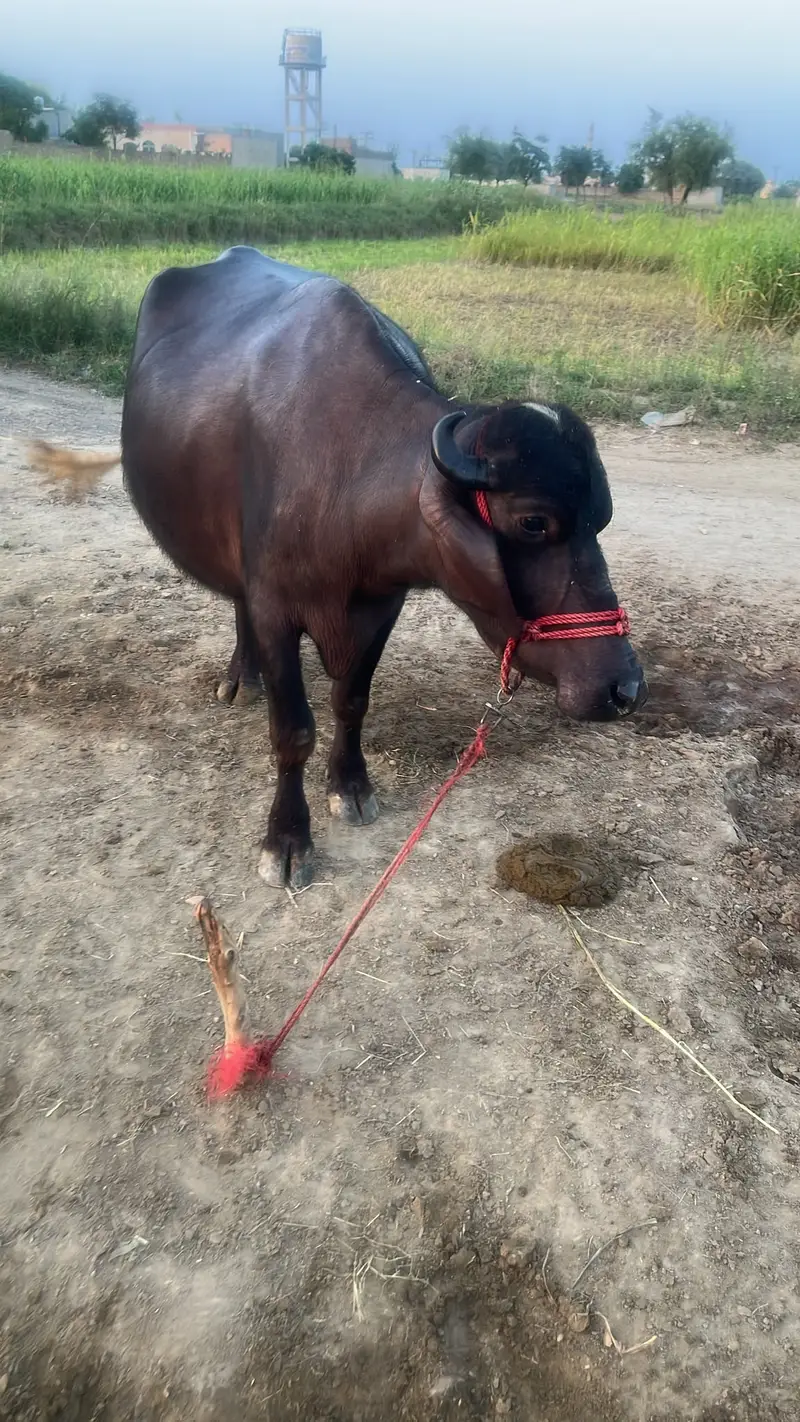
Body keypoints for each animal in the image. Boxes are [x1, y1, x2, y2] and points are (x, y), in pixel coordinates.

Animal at [31, 245, 647, 887]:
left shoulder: (380, 607)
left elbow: (351, 702)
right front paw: (287, 839)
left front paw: (350, 787)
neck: (348, 474)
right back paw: (240, 677)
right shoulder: (277, 609)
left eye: (601, 518)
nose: (624, 687)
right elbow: (292, 730)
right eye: (532, 521)